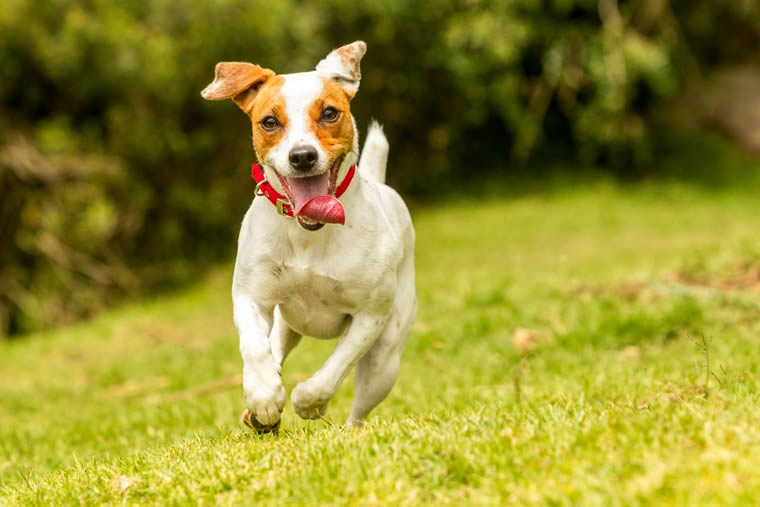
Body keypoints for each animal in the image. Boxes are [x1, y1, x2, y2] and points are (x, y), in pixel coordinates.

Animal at [202, 41, 416, 430]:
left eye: (330, 113)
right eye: (269, 122)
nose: (302, 156)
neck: (309, 235)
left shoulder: (369, 317)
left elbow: (334, 369)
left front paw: (308, 401)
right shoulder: (251, 295)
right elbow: (254, 347)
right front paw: (263, 396)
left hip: (385, 359)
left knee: (360, 406)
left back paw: (348, 430)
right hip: (286, 323)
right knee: (274, 346)